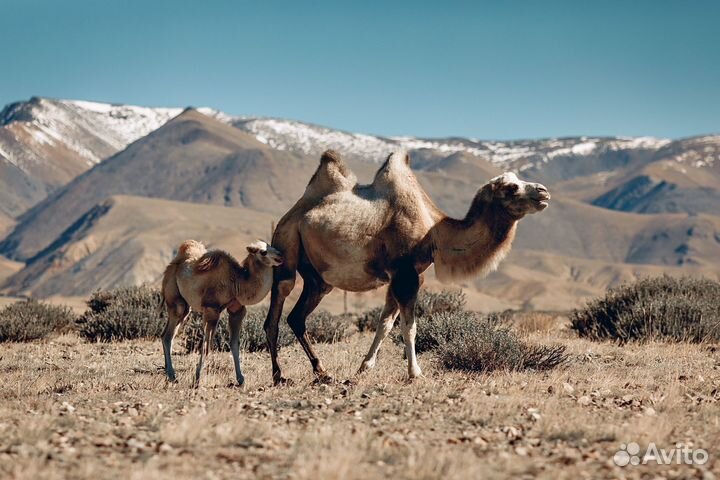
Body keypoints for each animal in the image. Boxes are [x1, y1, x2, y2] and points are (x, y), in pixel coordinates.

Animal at [160, 240, 282, 386]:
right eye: (263, 252)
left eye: (270, 246)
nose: (280, 256)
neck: (238, 283)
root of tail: (172, 265)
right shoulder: (211, 310)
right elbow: (206, 346)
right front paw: (197, 379)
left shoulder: (237, 310)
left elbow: (234, 344)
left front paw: (241, 379)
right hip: (175, 300)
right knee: (168, 335)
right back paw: (172, 375)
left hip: (185, 308)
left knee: (165, 335)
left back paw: (168, 373)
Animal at [264, 148, 552, 384]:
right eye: (512, 187)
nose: (543, 191)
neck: (435, 232)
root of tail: (290, 215)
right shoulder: (405, 273)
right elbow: (408, 326)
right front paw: (416, 372)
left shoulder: (403, 275)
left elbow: (385, 323)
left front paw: (365, 367)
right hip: (286, 247)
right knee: (275, 314)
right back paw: (279, 375)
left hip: (318, 279)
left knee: (297, 317)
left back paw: (322, 371)